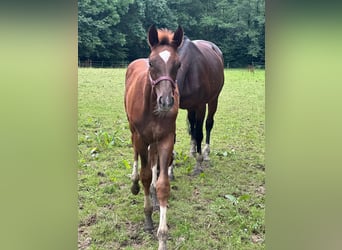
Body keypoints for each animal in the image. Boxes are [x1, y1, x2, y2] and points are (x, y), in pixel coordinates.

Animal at [125, 25, 184, 250]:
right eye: (152, 63)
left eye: (178, 64)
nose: (166, 101)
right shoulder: (141, 137)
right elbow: (145, 175)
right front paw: (148, 217)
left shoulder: (166, 138)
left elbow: (162, 184)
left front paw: (162, 237)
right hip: (133, 130)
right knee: (136, 155)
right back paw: (134, 184)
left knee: (153, 160)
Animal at [176, 36, 224, 168]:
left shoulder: (201, 106)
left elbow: (199, 133)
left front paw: (199, 159)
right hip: (191, 107)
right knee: (192, 124)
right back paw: (192, 150)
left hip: (213, 100)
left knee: (208, 124)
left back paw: (206, 152)